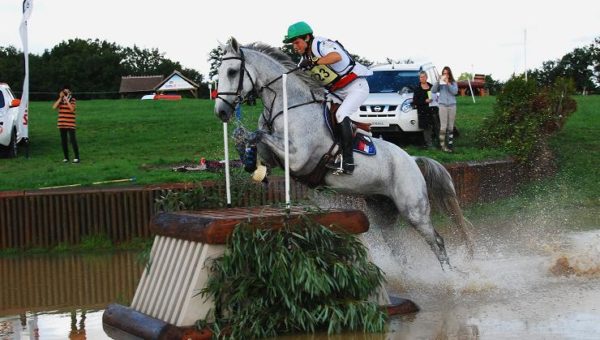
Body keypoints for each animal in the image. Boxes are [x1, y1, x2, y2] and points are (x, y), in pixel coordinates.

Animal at [216, 38, 474, 270]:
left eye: (232, 71)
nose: (221, 112)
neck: (288, 106)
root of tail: (412, 160)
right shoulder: (276, 156)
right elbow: (253, 139)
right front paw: (249, 161)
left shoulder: (299, 158)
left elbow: (258, 134)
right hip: (383, 210)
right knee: (398, 246)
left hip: (413, 209)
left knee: (436, 241)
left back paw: (450, 278)